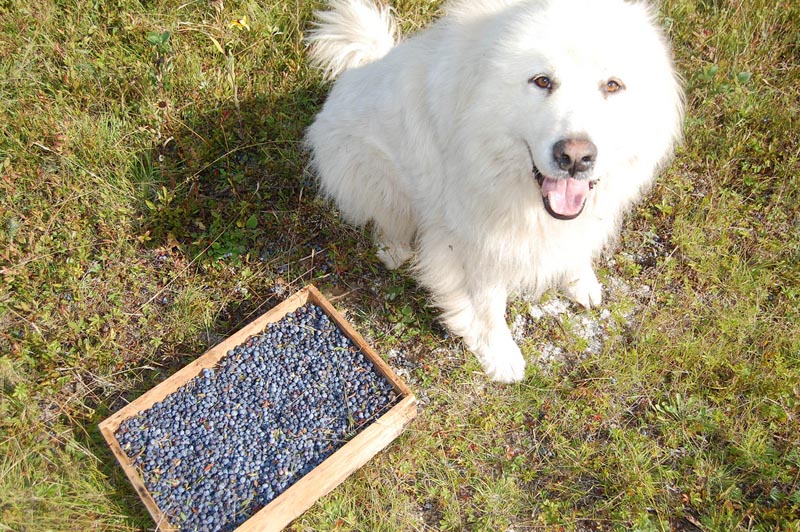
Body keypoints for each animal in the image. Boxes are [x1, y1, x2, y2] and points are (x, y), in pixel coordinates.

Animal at [304, 0, 684, 382]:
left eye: (612, 85)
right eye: (542, 81)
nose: (575, 157)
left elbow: (576, 247)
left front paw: (580, 282)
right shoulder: (477, 245)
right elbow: (488, 308)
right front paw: (500, 357)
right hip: (380, 180)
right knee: (386, 221)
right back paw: (395, 249)